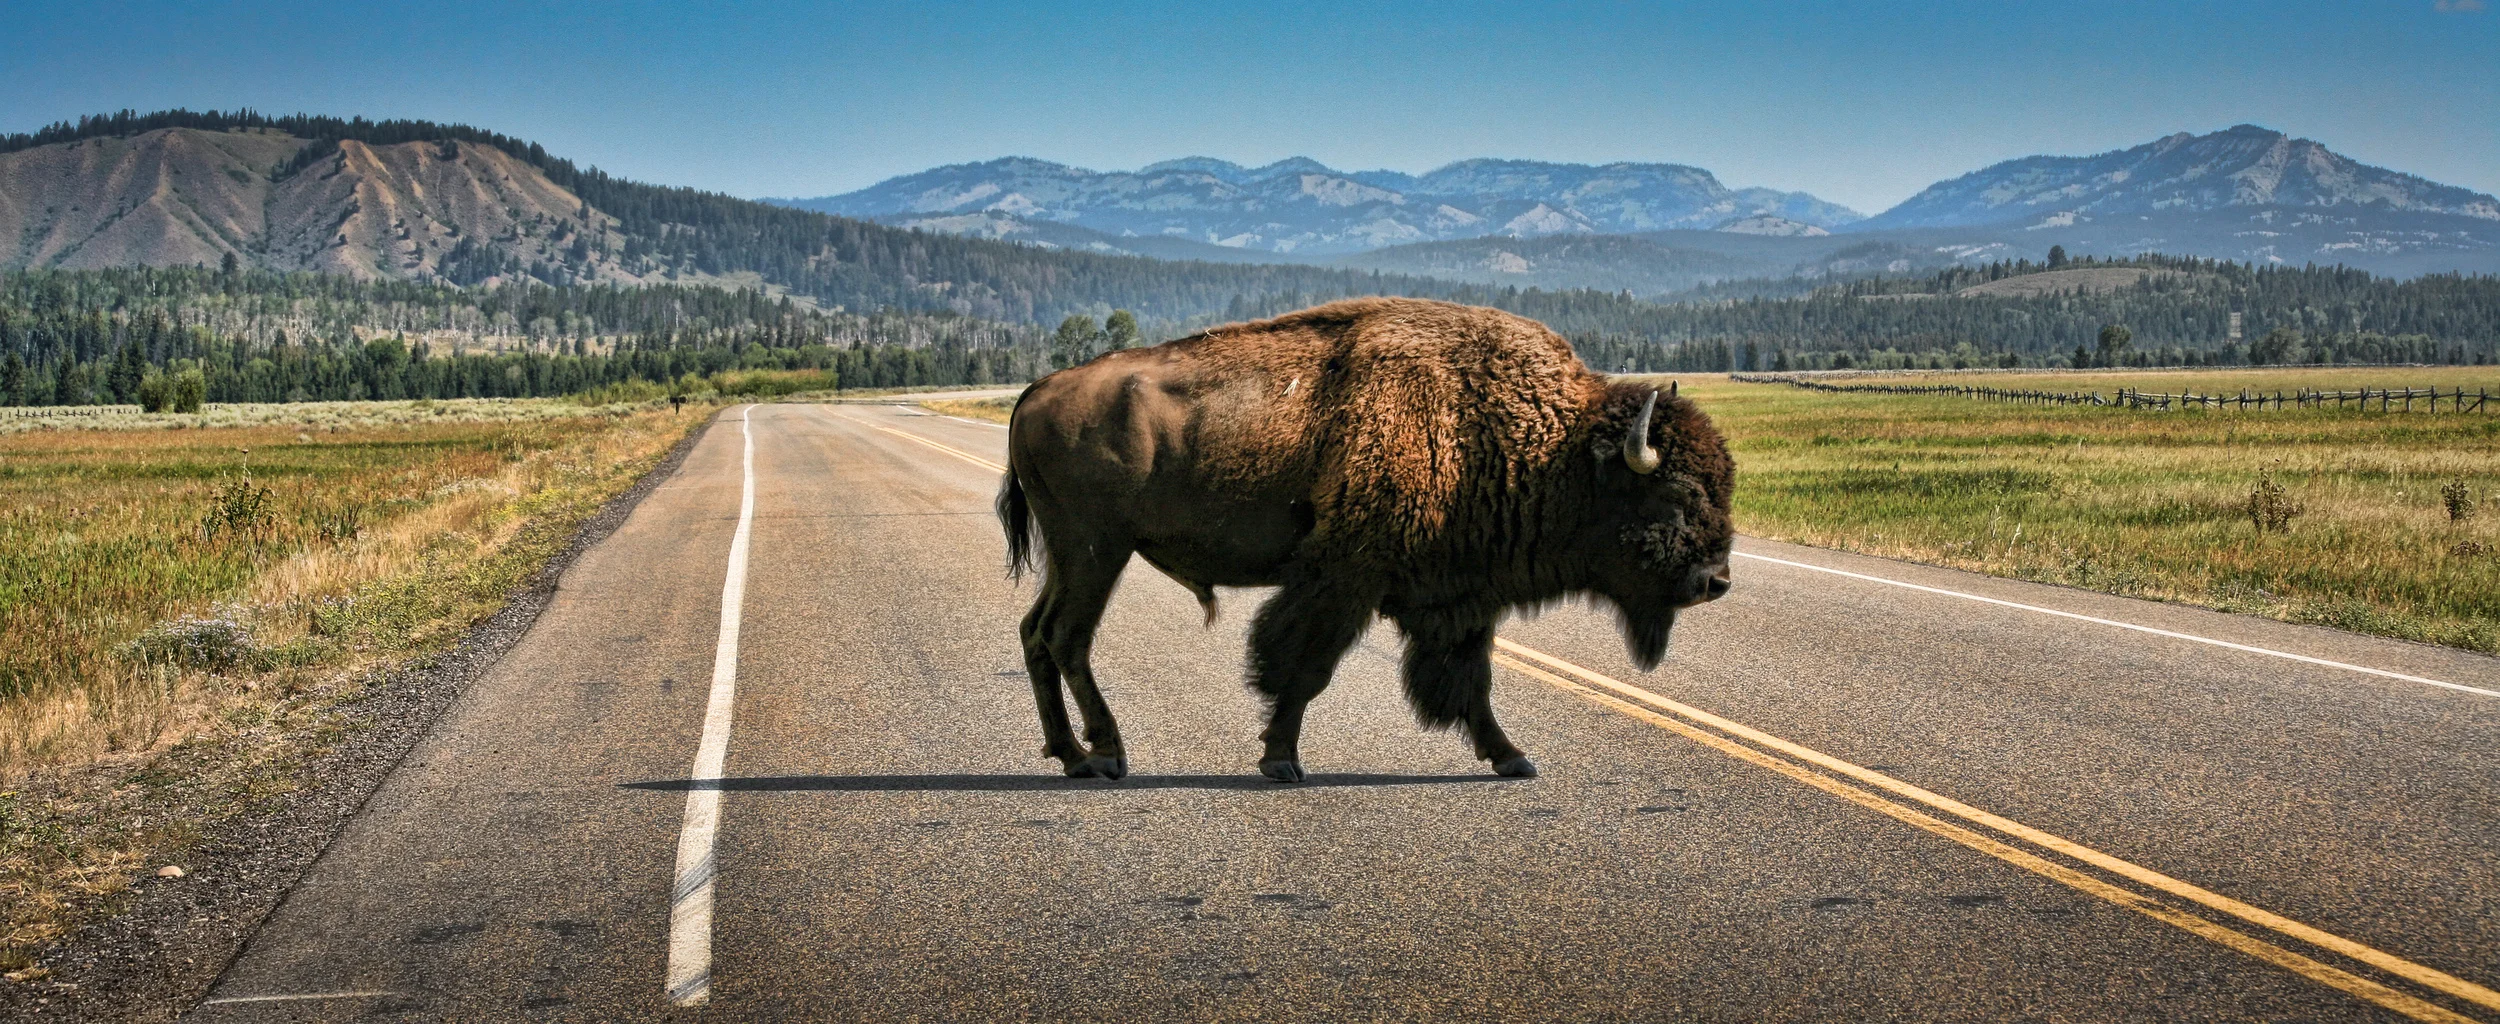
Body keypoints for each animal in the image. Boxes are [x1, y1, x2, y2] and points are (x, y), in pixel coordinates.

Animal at [996, 297, 1734, 782]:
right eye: (1676, 494)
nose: (1717, 581)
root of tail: (1034, 390)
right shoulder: (1344, 580)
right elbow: (1305, 668)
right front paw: (1282, 761)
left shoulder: (1459, 598)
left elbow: (1471, 682)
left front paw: (1513, 758)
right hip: (1096, 550)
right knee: (1067, 637)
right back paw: (1107, 756)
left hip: (1072, 556)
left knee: (1036, 633)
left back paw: (1071, 756)